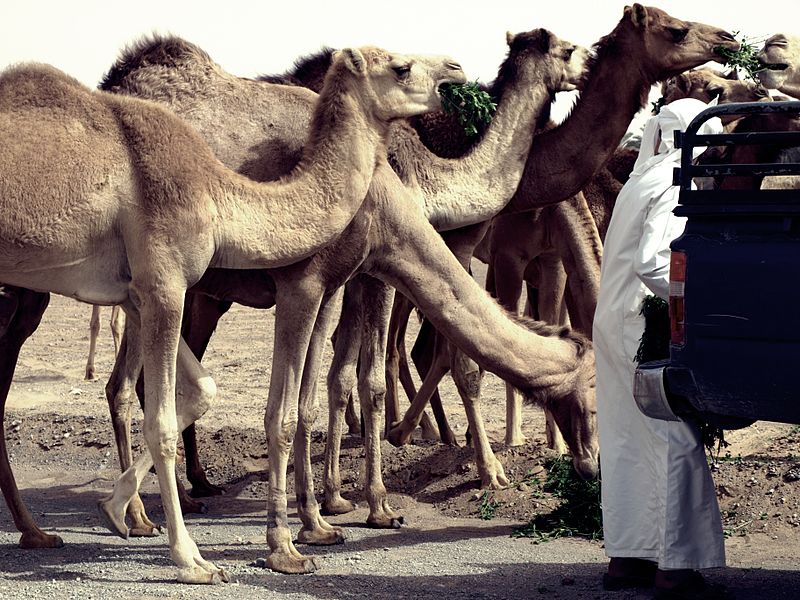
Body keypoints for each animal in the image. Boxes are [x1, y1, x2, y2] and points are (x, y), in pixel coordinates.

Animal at [0, 29, 597, 574]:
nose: (590, 464)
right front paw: (314, 530)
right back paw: (122, 521)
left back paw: (107, 516)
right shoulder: (313, 281)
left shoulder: (333, 280)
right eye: (595, 395)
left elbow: (311, 392)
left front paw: (320, 518)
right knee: (116, 386)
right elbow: (318, 398)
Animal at [385, 5, 739, 457]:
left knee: (405, 345)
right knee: (395, 346)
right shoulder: (501, 254)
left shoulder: (551, 259)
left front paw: (554, 442)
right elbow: (472, 346)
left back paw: (431, 432)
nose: (728, 38)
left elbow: (554, 324)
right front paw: (509, 445)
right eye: (677, 30)